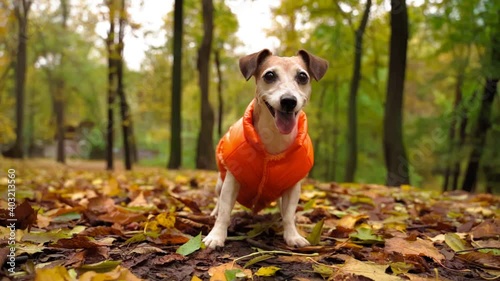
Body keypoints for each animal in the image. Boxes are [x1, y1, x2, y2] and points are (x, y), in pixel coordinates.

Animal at [203, 48, 328, 247]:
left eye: (302, 76)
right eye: (269, 75)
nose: (288, 100)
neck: (274, 136)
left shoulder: (293, 187)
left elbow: (289, 214)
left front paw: (292, 235)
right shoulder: (231, 181)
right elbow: (224, 211)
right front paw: (216, 236)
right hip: (220, 183)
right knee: (218, 202)